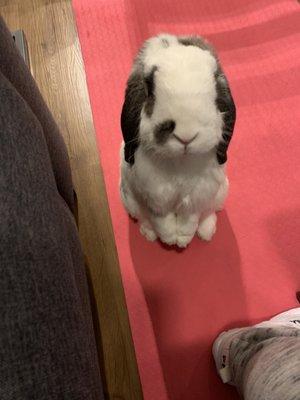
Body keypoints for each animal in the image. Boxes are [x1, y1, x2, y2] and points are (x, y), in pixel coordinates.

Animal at [120, 33, 237, 247]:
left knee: (209, 214)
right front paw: (169, 239)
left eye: (217, 90)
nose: (186, 136)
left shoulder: (197, 196)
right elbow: (161, 219)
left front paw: (182, 239)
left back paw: (207, 233)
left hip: (220, 193)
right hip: (130, 200)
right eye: (149, 90)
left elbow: (189, 219)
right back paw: (149, 234)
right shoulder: (154, 195)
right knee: (144, 219)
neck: (179, 162)